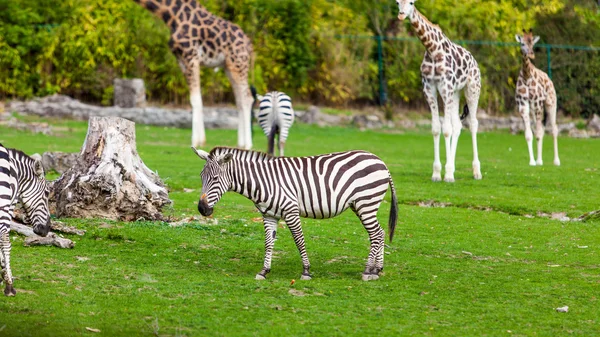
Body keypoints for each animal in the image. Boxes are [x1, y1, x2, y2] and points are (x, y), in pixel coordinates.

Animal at [135, 0, 254, 148]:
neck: (171, 14)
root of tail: (249, 44)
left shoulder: (191, 56)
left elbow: (195, 98)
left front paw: (196, 141)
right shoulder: (181, 59)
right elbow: (196, 98)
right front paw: (200, 140)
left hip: (238, 63)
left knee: (247, 98)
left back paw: (248, 145)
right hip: (229, 66)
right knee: (239, 99)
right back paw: (241, 144)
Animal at [192, 146, 398, 280]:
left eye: (215, 178)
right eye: (201, 177)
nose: (202, 209)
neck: (263, 182)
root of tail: (380, 161)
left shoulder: (291, 211)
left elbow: (299, 240)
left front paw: (306, 271)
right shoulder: (269, 215)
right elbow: (268, 243)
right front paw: (264, 271)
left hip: (366, 202)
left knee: (376, 234)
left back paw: (367, 271)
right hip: (361, 205)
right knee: (379, 233)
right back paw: (377, 269)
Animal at [398, 0, 482, 182]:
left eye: (411, 2)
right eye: (397, 2)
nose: (401, 14)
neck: (432, 49)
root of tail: (474, 61)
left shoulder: (445, 87)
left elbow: (446, 129)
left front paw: (448, 175)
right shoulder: (429, 88)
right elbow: (437, 128)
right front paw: (437, 173)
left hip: (472, 89)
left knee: (473, 124)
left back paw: (476, 172)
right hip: (456, 93)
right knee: (458, 125)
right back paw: (454, 167)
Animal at [512, 29, 560, 166]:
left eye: (532, 44)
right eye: (522, 43)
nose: (531, 54)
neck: (527, 76)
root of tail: (549, 80)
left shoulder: (537, 103)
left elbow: (538, 133)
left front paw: (538, 161)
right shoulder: (523, 104)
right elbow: (529, 134)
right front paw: (533, 161)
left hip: (550, 104)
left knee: (554, 129)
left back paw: (556, 161)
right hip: (534, 110)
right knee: (541, 129)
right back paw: (540, 159)